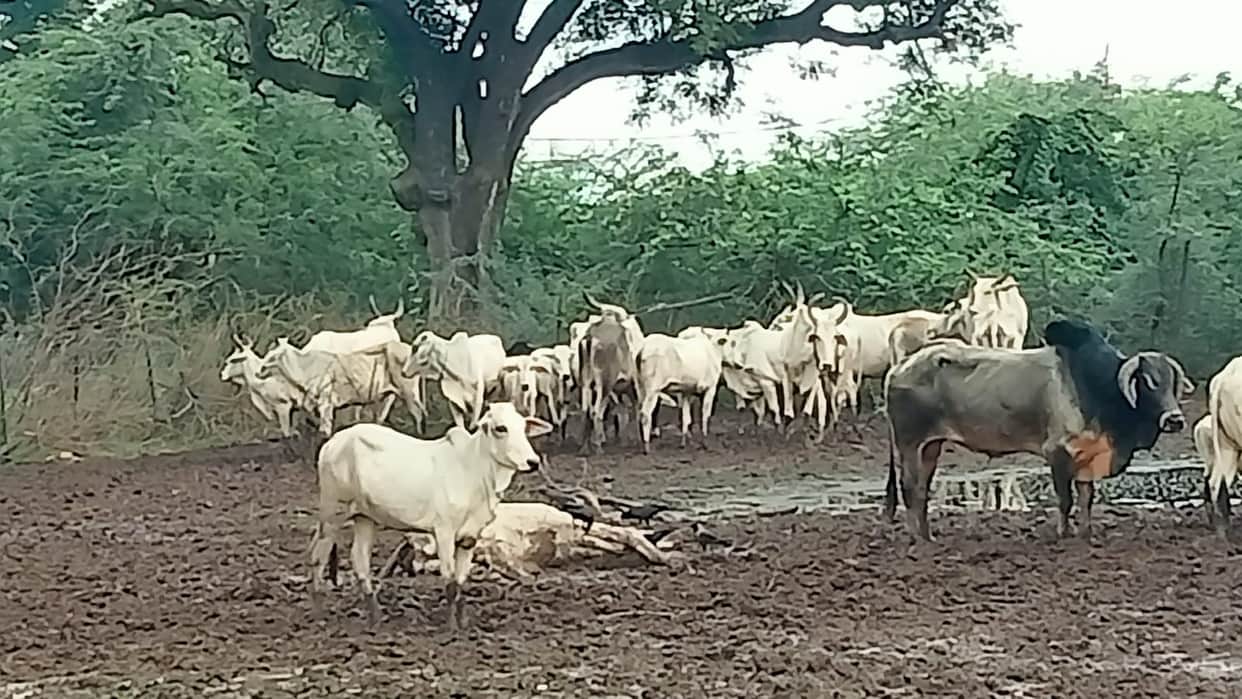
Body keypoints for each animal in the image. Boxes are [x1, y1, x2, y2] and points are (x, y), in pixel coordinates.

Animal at [308, 403, 552, 627]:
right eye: (501, 428)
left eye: (523, 427)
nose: (533, 462)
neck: (475, 471)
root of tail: (332, 443)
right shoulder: (444, 532)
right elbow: (450, 582)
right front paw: (451, 628)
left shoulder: (470, 537)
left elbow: (461, 580)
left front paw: (463, 624)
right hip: (332, 511)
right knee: (319, 556)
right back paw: (319, 614)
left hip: (365, 517)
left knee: (360, 560)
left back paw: (375, 618)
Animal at [884, 318, 1193, 542]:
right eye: (1149, 382)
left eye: (1172, 382)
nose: (1175, 419)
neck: (1094, 385)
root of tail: (899, 368)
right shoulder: (1057, 452)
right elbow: (1065, 500)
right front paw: (1063, 534)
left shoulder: (1086, 456)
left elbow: (1086, 499)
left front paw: (1085, 534)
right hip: (909, 443)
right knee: (909, 487)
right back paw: (915, 539)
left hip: (931, 446)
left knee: (922, 489)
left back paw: (928, 536)